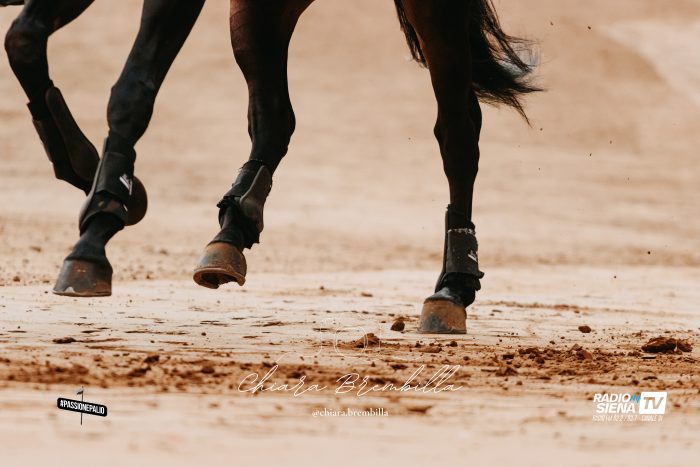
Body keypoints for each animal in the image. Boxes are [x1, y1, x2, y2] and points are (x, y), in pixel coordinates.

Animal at [4, 0, 538, 335]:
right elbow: (23, 40)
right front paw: (94, 176)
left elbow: (133, 88)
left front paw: (99, 226)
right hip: (261, 9)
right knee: (275, 116)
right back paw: (230, 233)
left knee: (458, 131)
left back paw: (452, 287)